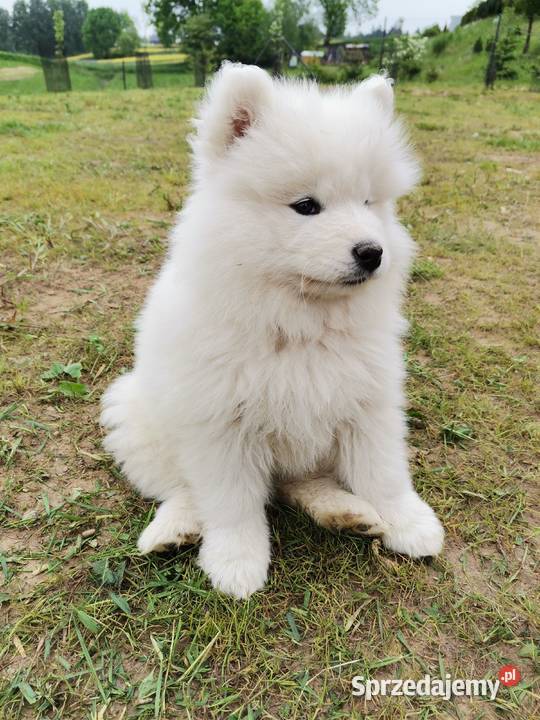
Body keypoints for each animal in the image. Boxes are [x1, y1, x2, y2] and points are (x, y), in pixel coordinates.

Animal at [100, 64, 442, 600]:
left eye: (369, 201)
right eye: (306, 206)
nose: (373, 252)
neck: (298, 323)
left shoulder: (369, 403)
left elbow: (383, 471)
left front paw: (408, 522)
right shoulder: (222, 424)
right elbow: (232, 502)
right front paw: (236, 562)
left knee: (300, 484)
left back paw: (345, 512)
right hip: (137, 418)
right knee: (183, 488)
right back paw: (175, 528)